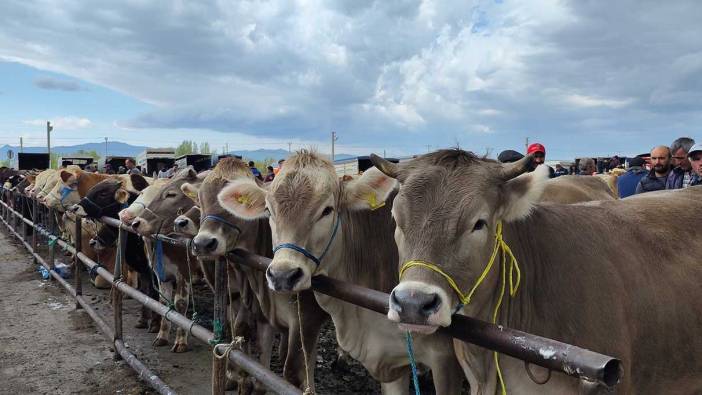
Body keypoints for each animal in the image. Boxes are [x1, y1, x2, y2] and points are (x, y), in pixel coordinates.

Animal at [187, 159, 330, 392]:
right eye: (200, 199)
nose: (203, 243)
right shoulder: (246, 300)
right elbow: (241, 329)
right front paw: (239, 377)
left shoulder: (306, 316)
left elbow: (297, 364)